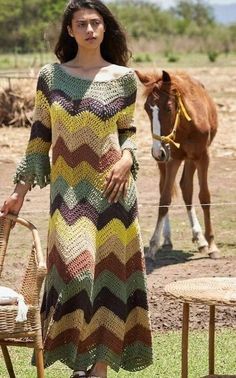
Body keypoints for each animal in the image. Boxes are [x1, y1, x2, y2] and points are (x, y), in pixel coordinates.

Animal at [136, 69, 220, 260]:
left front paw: (211, 244)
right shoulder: (172, 158)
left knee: (187, 188)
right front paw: (154, 244)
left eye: (168, 108)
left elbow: (204, 197)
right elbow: (164, 198)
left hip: (190, 159)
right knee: (167, 187)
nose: (156, 152)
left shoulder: (203, 156)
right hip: (167, 161)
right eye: (146, 108)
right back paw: (167, 239)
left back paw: (201, 240)